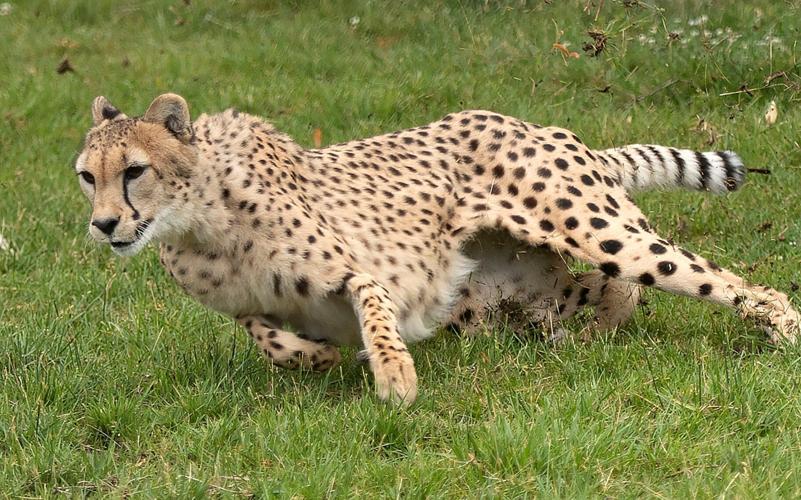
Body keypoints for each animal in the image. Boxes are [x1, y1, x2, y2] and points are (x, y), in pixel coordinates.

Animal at [75, 93, 800, 405]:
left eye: (134, 171)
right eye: (88, 176)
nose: (105, 225)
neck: (202, 223)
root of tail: (540, 126)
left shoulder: (364, 274)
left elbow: (375, 319)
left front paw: (393, 378)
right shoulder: (250, 307)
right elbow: (268, 336)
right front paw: (317, 357)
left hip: (596, 231)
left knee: (712, 279)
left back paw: (782, 331)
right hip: (510, 290)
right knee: (609, 289)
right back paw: (590, 337)